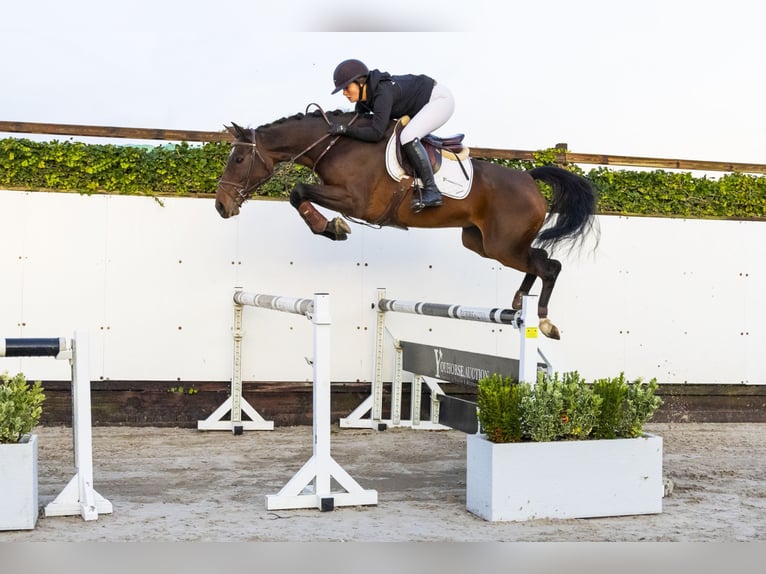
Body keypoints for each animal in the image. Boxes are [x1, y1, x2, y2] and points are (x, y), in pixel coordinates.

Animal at [216, 108, 600, 340]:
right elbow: (299, 194)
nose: (221, 206)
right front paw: (331, 227)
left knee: (550, 265)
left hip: (502, 245)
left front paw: (332, 228)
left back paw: (543, 319)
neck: (338, 145)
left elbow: (298, 191)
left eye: (238, 159)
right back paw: (519, 301)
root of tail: (529, 179)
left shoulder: (357, 201)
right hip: (483, 243)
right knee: (538, 259)